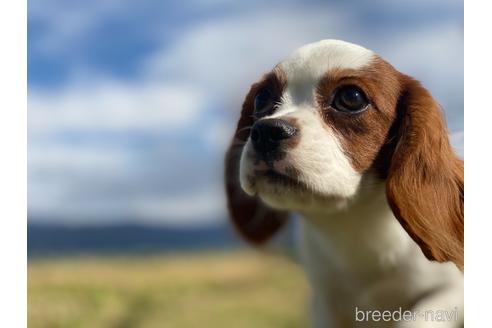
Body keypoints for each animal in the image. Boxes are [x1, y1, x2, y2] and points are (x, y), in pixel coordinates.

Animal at [225, 39, 464, 326]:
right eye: (261, 98)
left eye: (351, 97)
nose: (266, 131)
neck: (355, 228)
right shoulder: (324, 306)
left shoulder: (454, 291)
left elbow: (419, 314)